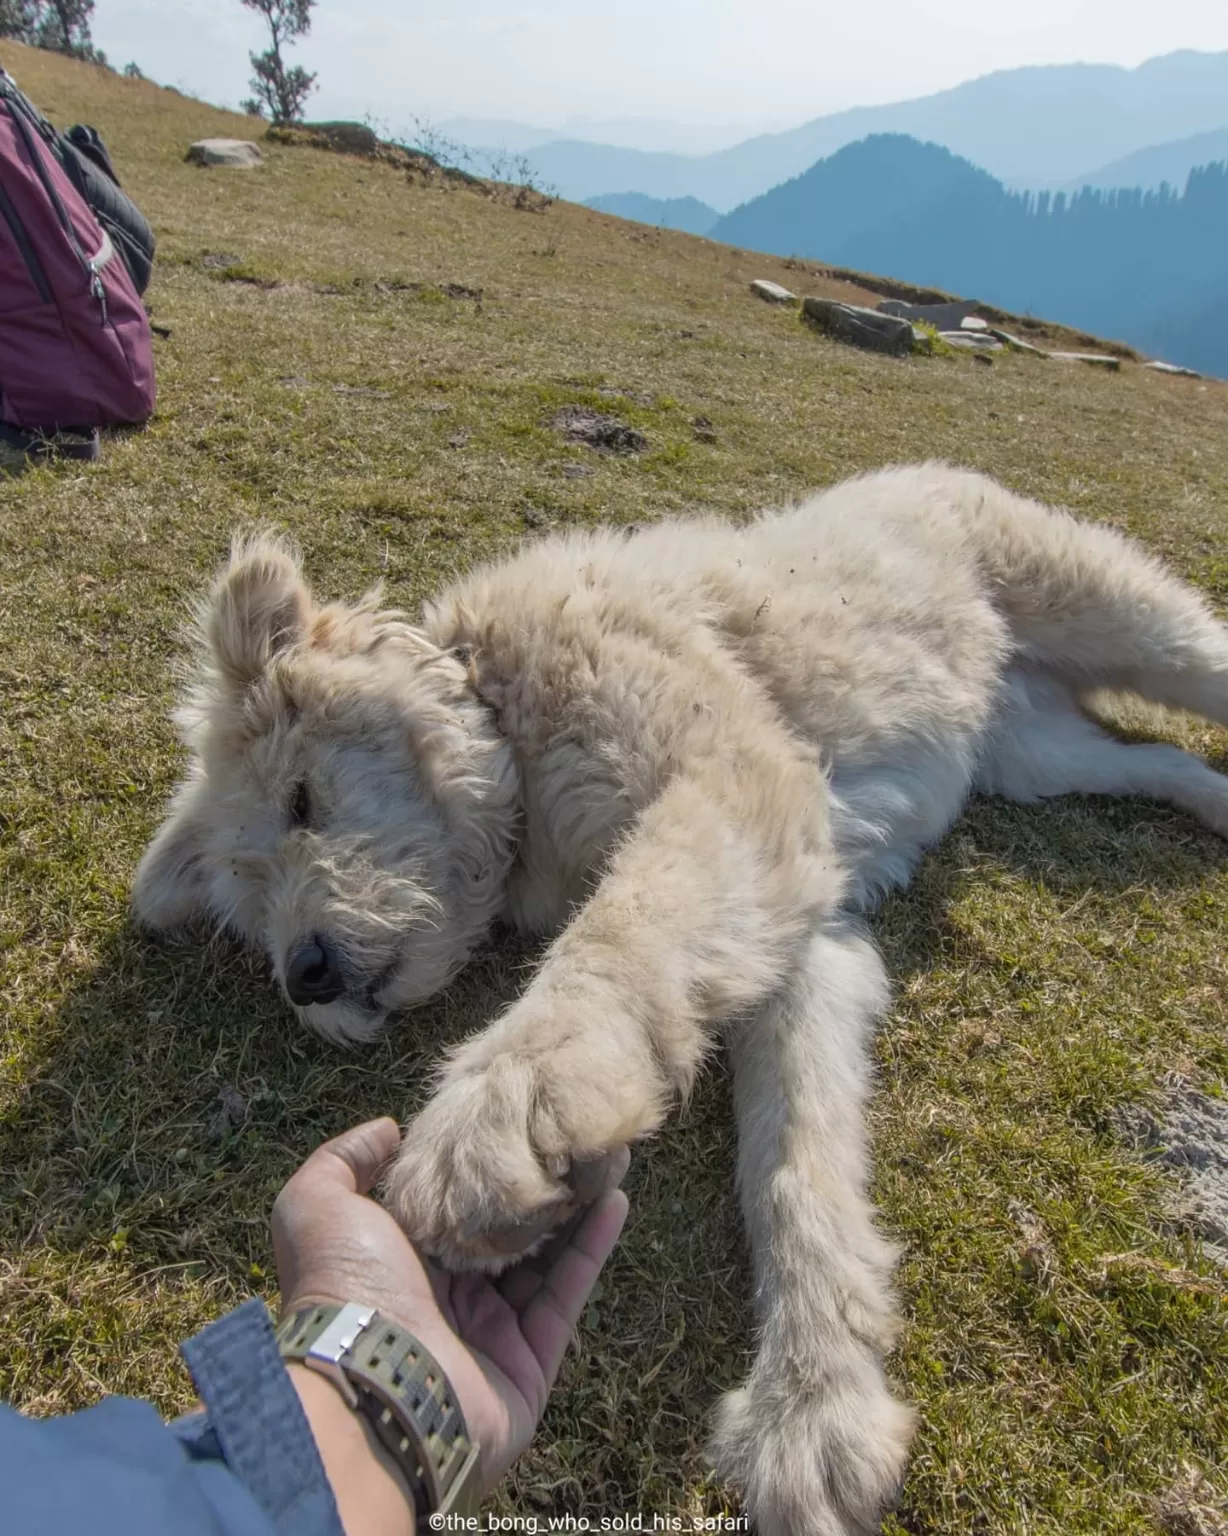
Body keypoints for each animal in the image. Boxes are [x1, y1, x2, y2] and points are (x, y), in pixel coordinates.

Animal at [132, 460, 1228, 1529]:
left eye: (302, 801)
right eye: (251, 908)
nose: (305, 974)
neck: (505, 718)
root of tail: (928, 471)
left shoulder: (734, 790)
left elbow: (621, 933)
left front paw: (505, 1107)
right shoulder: (807, 935)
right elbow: (796, 1162)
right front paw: (814, 1405)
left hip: (1131, 627)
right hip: (1032, 756)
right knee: (1155, 761)